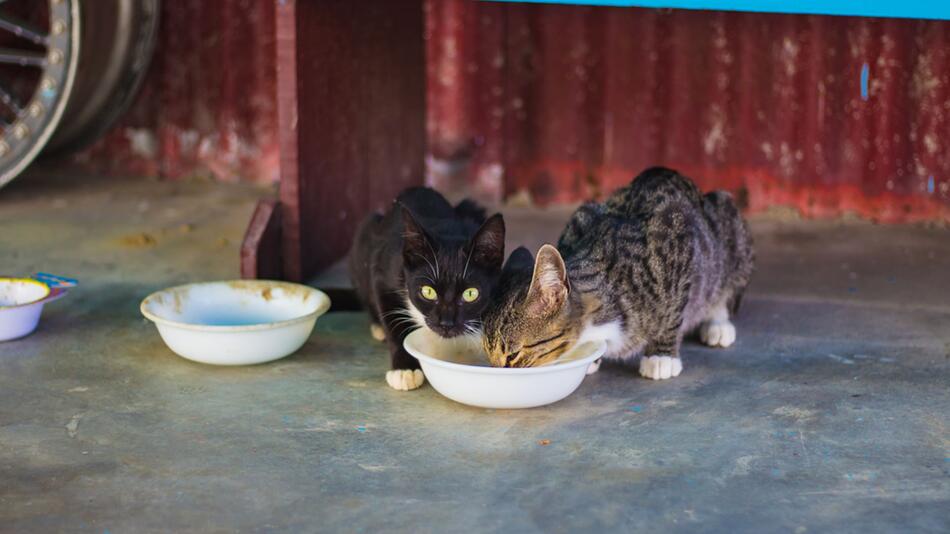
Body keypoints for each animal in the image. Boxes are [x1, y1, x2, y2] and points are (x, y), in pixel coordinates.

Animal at [350, 186, 510, 392]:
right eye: (428, 292)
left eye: (470, 294)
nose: (446, 323)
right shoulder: (382, 274)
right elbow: (393, 322)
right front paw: (404, 369)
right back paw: (378, 327)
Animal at [488, 168, 756, 382]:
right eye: (488, 353)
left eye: (512, 355)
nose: (496, 373)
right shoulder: (580, 218)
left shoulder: (678, 238)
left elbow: (673, 311)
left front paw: (661, 355)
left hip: (729, 229)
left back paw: (718, 322)